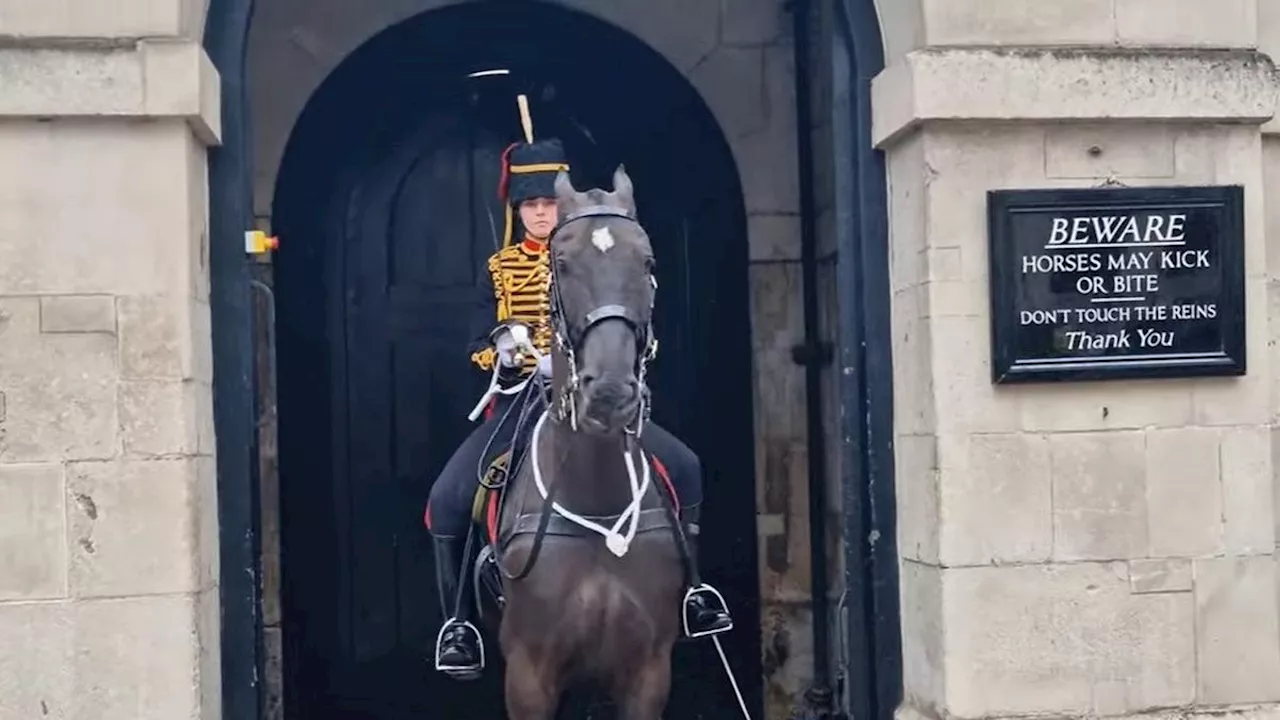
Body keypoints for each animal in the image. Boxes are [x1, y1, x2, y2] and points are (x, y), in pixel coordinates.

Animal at [488, 165, 691, 712]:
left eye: (647, 261)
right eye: (562, 263)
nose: (610, 393)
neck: (597, 495)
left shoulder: (648, 672)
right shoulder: (528, 677)